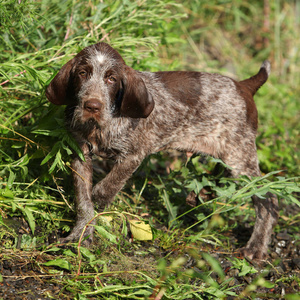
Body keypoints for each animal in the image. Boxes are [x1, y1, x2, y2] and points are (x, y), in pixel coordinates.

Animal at [46, 42, 278, 260]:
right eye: (82, 73)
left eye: (111, 79)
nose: (92, 106)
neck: (99, 128)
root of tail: (243, 86)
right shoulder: (80, 155)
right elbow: (83, 200)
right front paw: (81, 233)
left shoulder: (133, 155)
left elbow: (105, 188)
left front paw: (98, 203)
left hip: (240, 158)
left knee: (269, 199)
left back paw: (256, 247)